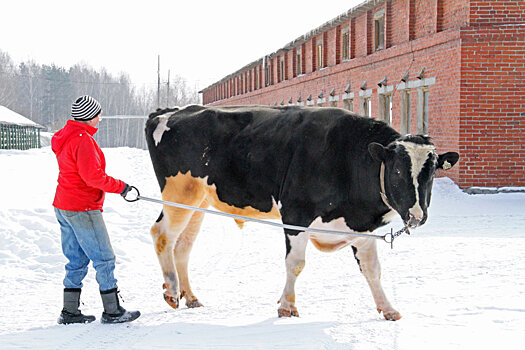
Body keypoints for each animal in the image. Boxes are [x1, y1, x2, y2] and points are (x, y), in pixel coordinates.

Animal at [144, 105, 458, 322]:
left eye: (431, 172)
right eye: (397, 171)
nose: (417, 215)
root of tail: (170, 111)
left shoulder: (362, 228)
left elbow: (373, 270)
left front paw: (388, 308)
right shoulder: (296, 214)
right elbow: (295, 263)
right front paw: (287, 306)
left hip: (198, 201)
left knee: (183, 245)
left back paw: (190, 297)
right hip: (179, 193)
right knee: (162, 235)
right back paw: (171, 291)